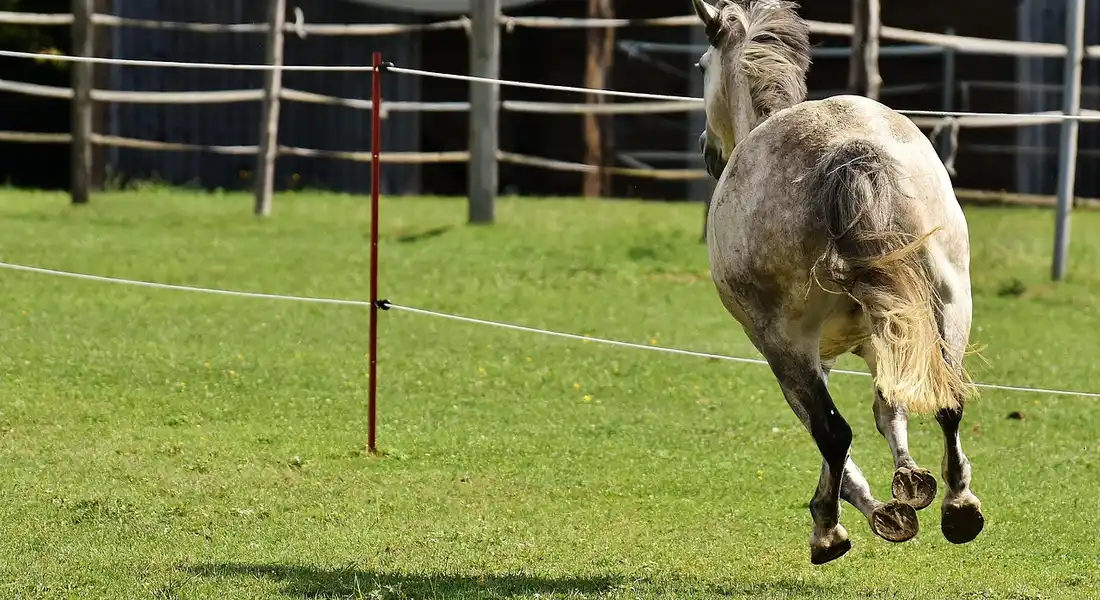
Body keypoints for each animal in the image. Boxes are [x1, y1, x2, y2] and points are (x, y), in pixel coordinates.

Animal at [690, 0, 984, 564]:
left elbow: (834, 438)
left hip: (785, 346)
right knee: (949, 400)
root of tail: (848, 152)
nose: (706, 150)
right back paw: (959, 506)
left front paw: (867, 510)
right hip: (947, 308)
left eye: (700, 66)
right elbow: (891, 409)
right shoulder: (885, 331)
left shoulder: (795, 356)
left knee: (833, 431)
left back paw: (828, 531)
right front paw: (907, 484)